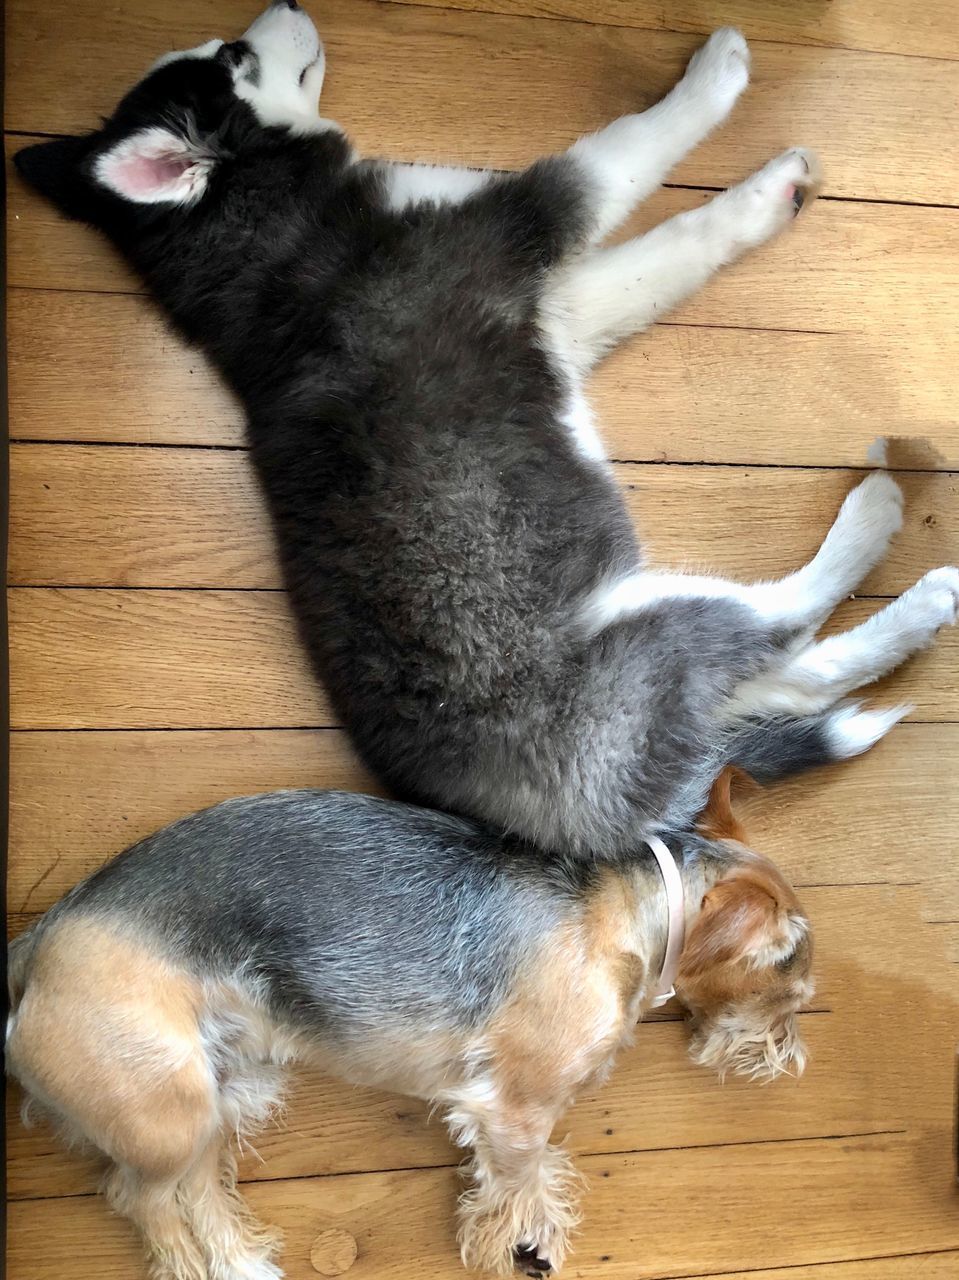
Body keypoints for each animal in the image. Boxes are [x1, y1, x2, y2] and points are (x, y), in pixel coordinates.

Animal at [5, 768, 809, 1280]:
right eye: (789, 978)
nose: (792, 1057)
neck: (632, 913)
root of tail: (33, 946)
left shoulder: (518, 1114)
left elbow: (532, 1174)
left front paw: (535, 1233)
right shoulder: (516, 1106)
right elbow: (516, 1181)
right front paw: (506, 1249)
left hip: (216, 1096)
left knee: (196, 1193)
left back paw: (241, 1264)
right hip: (167, 1114)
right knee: (143, 1200)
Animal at [16, 7, 957, 860]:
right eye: (236, 58)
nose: (291, 3)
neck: (254, 245)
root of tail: (588, 828)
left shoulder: (557, 307)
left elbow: (678, 244)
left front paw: (764, 199)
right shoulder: (521, 224)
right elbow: (625, 152)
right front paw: (715, 78)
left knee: (794, 682)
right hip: (654, 631)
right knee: (784, 627)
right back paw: (890, 541)